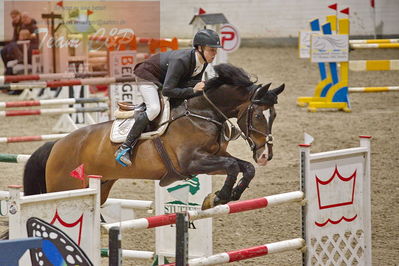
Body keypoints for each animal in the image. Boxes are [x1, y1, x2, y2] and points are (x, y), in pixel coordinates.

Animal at [23, 62, 284, 210]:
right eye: (258, 116)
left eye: (274, 115)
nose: (266, 155)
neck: (202, 113)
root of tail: (56, 145)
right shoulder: (192, 162)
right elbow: (232, 166)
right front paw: (218, 197)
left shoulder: (214, 157)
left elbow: (244, 167)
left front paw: (229, 195)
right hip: (62, 189)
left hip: (100, 187)